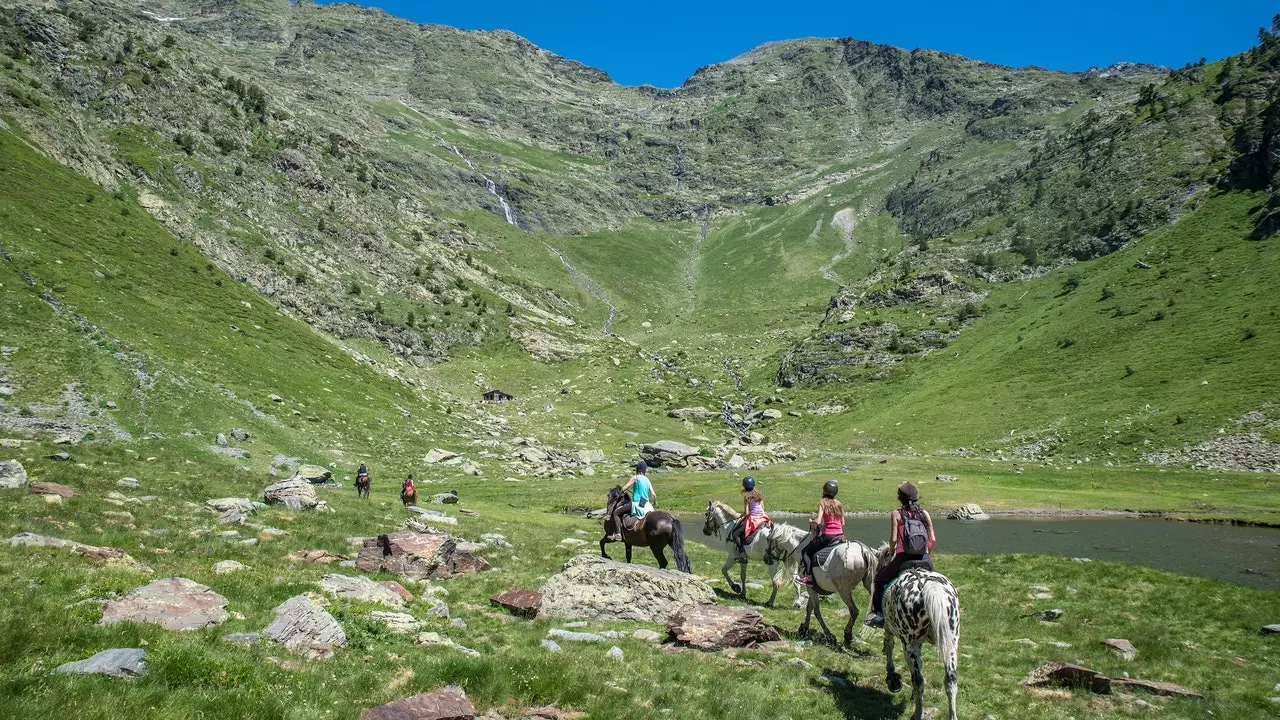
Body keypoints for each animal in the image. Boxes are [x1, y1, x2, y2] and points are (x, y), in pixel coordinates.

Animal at [885, 566, 962, 717]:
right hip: (950, 645)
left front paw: (892, 677)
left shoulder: (891, 630)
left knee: (918, 680)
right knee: (950, 679)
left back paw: (918, 713)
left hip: (911, 646)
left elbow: (889, 646)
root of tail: (930, 587)